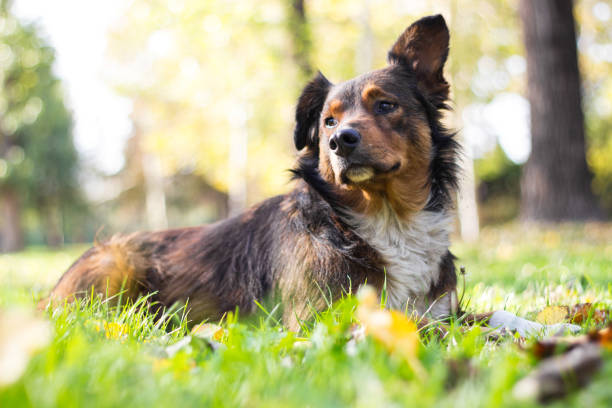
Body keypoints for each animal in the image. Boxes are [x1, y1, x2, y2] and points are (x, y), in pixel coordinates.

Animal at [47, 14, 580, 336]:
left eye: (385, 106)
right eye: (327, 121)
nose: (340, 140)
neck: (385, 218)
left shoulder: (442, 304)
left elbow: (493, 314)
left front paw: (553, 328)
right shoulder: (319, 322)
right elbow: (421, 327)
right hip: (115, 260)